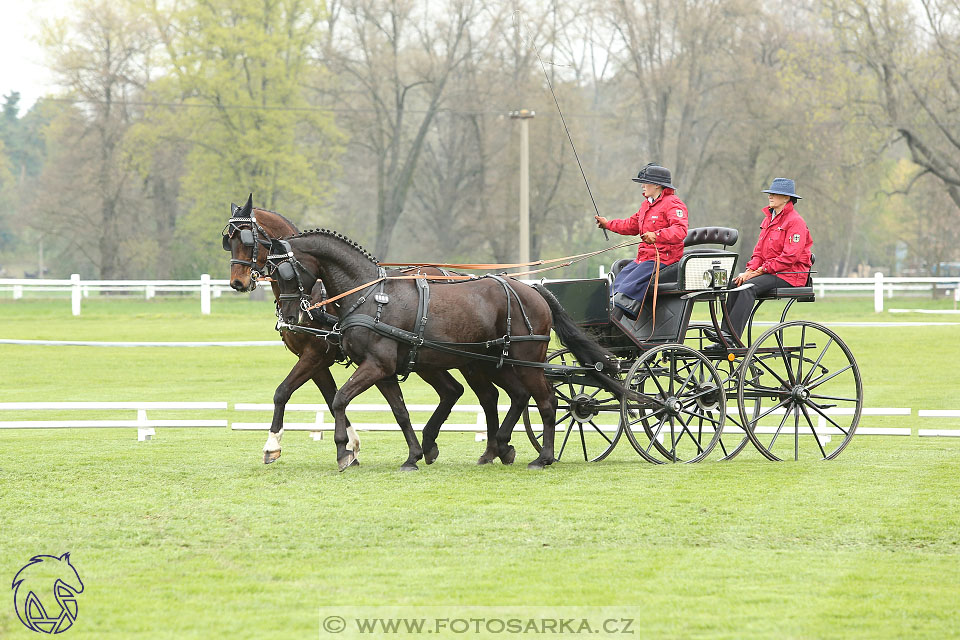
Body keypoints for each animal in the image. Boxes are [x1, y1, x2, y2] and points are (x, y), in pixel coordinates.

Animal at [221, 195, 498, 470]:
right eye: (229, 242)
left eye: (246, 239)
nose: (238, 283)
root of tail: (451, 273)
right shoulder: (316, 361)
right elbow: (329, 398)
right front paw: (350, 447)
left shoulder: (316, 355)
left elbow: (284, 392)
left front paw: (274, 445)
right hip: (428, 360)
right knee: (453, 391)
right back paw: (435, 445)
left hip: (459, 359)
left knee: (486, 395)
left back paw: (487, 450)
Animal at [264, 230, 624, 470]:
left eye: (284, 272)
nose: (291, 316)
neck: (370, 296)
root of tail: (532, 289)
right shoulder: (381, 370)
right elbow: (400, 412)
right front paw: (412, 456)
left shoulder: (374, 365)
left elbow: (339, 399)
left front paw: (343, 451)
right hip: (491, 362)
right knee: (514, 397)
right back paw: (498, 448)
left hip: (524, 361)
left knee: (546, 400)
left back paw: (543, 456)